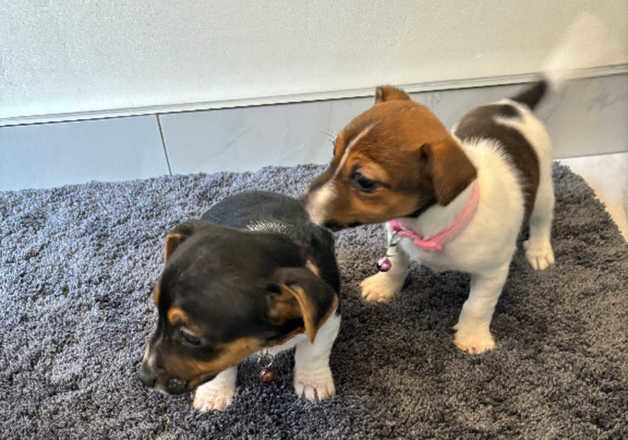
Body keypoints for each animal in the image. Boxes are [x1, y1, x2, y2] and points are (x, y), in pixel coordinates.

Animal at [140, 192, 340, 412]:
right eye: (158, 313)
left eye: (190, 337)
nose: (144, 377)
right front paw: (213, 394)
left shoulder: (329, 316)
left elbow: (314, 350)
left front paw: (313, 383)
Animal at [302, 82, 556, 354]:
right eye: (333, 152)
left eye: (364, 181)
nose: (300, 204)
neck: (425, 224)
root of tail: (512, 106)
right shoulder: (396, 235)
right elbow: (396, 264)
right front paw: (384, 286)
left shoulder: (493, 270)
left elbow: (478, 305)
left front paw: (472, 335)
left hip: (543, 189)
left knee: (542, 219)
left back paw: (539, 250)